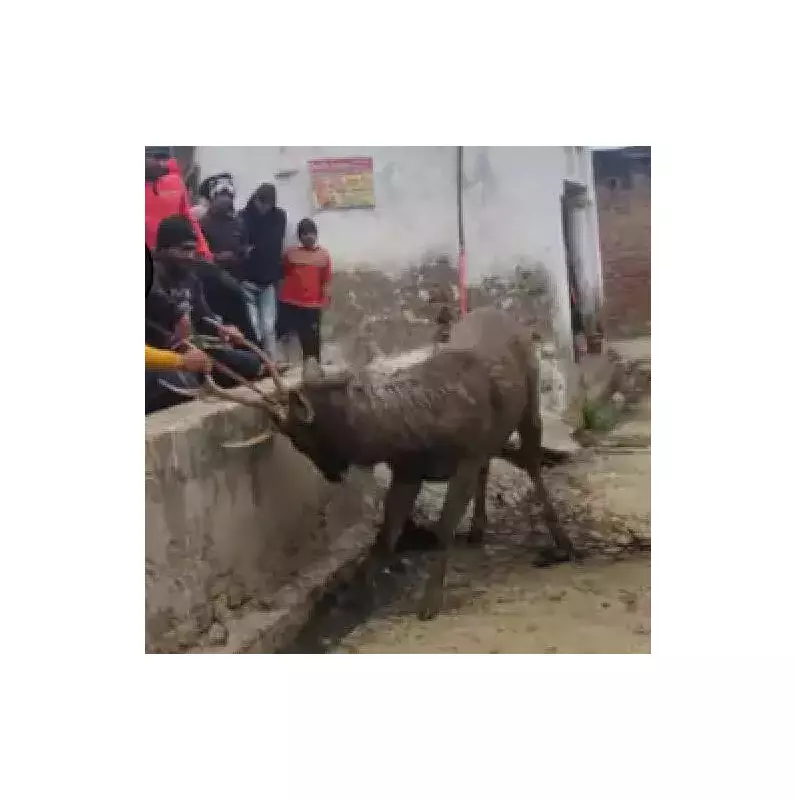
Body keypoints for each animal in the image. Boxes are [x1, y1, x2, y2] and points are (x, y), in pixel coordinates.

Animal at [170, 306, 577, 620]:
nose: (333, 475)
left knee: (531, 462)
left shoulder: (465, 454)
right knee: (494, 464)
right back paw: (479, 530)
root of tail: (514, 320)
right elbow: (384, 538)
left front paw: (430, 602)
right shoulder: (408, 470)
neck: (418, 434)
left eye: (301, 437)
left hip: (529, 402)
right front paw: (351, 602)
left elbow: (443, 528)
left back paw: (563, 542)